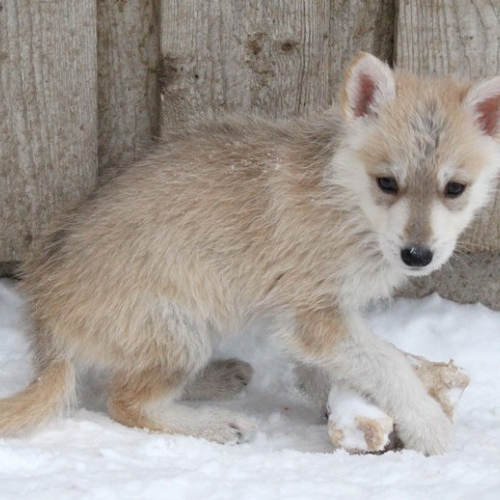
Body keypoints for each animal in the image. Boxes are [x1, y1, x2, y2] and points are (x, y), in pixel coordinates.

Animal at [0, 53, 500, 454]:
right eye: (387, 183)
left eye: (455, 188)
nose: (417, 255)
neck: (346, 202)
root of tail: (44, 316)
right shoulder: (315, 316)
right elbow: (387, 362)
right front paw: (429, 426)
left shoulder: (309, 318)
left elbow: (333, 369)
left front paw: (335, 405)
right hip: (176, 327)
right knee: (125, 401)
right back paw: (217, 423)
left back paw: (217, 379)